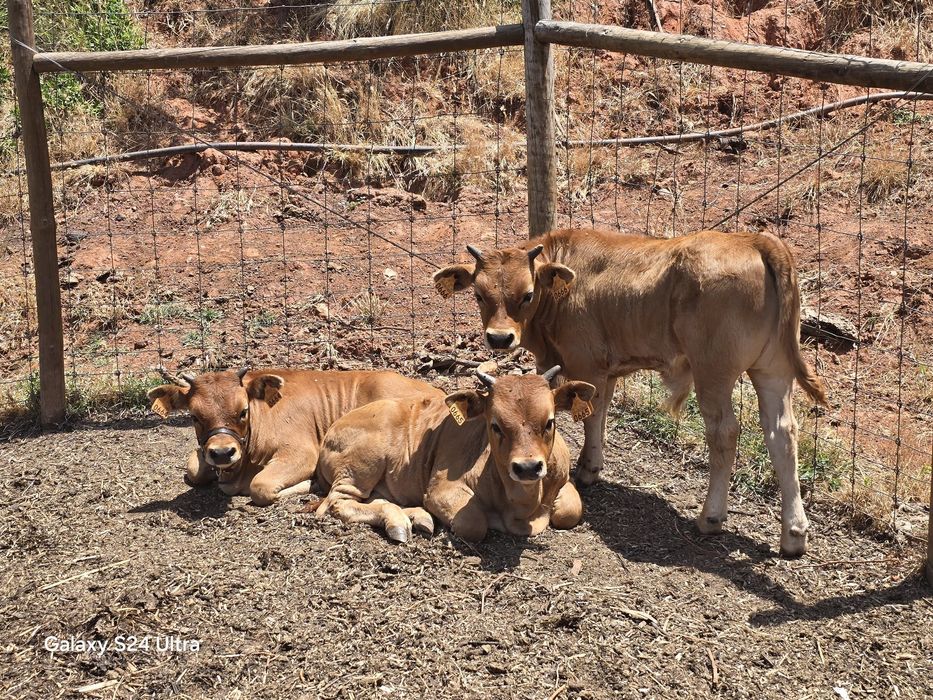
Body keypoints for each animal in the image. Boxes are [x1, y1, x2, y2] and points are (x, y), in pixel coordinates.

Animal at [147, 367, 439, 505]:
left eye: (243, 411)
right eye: (194, 417)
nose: (221, 453)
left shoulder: (301, 452)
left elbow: (261, 487)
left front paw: (308, 484)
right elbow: (194, 470)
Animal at [314, 366, 595, 543]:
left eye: (549, 422)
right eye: (495, 425)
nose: (527, 468)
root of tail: (333, 428)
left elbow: (571, 510)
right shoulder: (441, 491)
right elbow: (473, 523)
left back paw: (415, 517)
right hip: (361, 467)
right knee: (337, 503)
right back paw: (399, 522)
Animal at [432, 228, 828, 556]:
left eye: (527, 294)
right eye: (479, 295)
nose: (499, 338)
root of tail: (754, 239)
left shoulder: (588, 362)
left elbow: (591, 414)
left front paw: (589, 470)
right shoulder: (606, 371)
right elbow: (602, 409)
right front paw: (590, 462)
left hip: (713, 372)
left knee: (724, 433)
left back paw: (711, 517)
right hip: (773, 370)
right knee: (782, 434)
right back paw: (794, 535)